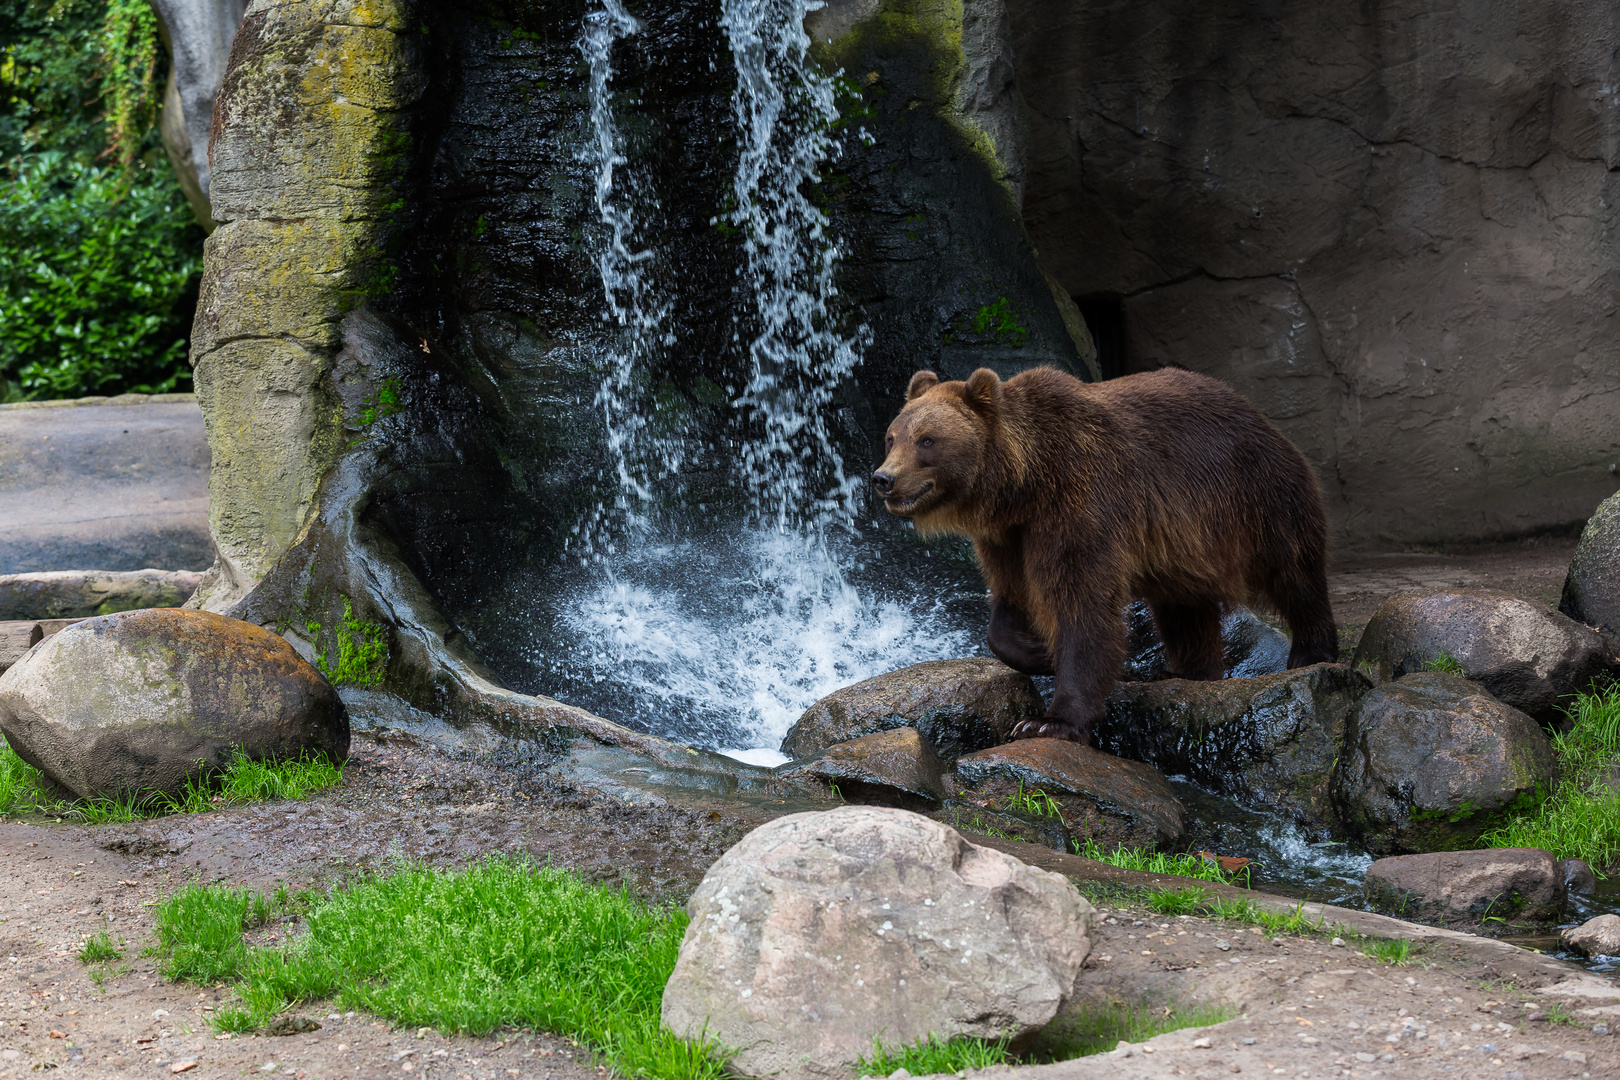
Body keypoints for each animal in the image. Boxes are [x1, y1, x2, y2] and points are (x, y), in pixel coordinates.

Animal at [881, 367, 1334, 748]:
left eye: (927, 439)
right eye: (892, 436)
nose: (883, 478)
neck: (1023, 485)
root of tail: (1256, 412)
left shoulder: (1081, 502)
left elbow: (1083, 604)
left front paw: (1049, 720)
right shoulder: (1008, 537)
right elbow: (1010, 598)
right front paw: (1037, 650)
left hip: (1254, 496)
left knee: (1293, 571)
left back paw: (1311, 650)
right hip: (1185, 547)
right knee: (1183, 606)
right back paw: (1184, 670)